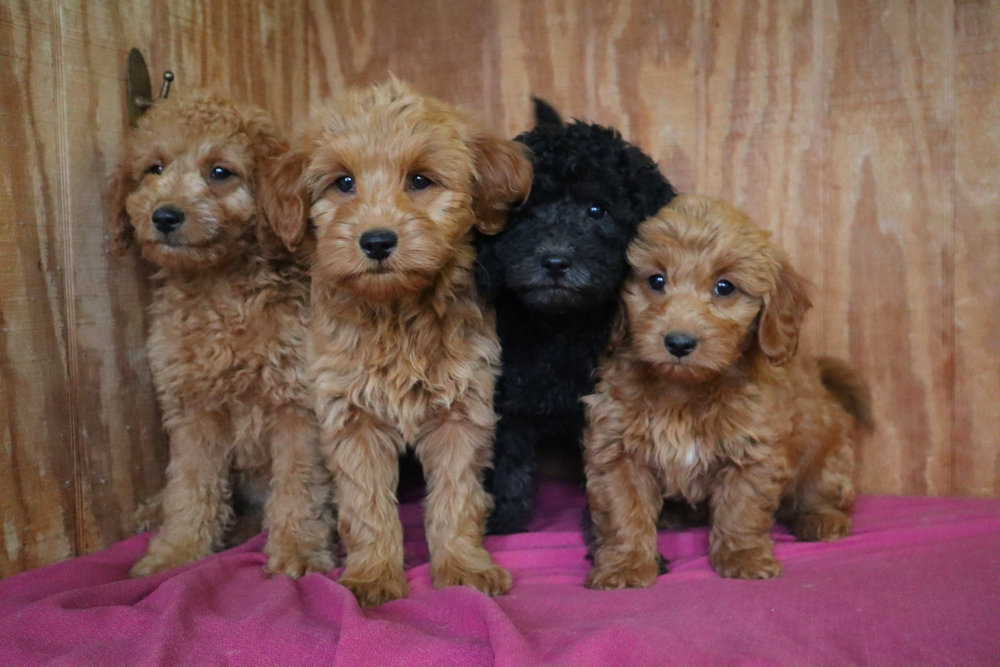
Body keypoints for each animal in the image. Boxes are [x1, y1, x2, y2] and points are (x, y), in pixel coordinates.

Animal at [110, 88, 334, 580]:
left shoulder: (298, 406)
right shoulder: (192, 410)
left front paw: (298, 551)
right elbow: (191, 486)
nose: (164, 216)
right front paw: (176, 551)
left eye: (219, 172)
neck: (220, 288)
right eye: (154, 169)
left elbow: (299, 483)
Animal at [262, 81, 536, 608]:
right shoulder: (352, 416)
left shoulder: (461, 411)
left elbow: (456, 499)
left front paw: (462, 568)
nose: (376, 241)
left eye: (421, 180)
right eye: (343, 183)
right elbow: (366, 505)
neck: (396, 313)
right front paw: (373, 575)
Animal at [478, 99, 680, 536]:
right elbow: (506, 460)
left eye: (596, 210)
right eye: (525, 214)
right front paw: (503, 517)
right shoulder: (505, 396)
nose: (554, 262)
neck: (561, 325)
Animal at [584, 196, 872, 592]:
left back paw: (821, 519)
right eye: (656, 280)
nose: (678, 342)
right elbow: (623, 511)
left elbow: (742, 509)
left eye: (725, 287)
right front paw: (625, 565)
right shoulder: (615, 448)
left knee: (823, 493)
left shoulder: (752, 450)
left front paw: (743, 558)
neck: (684, 389)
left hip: (827, 456)